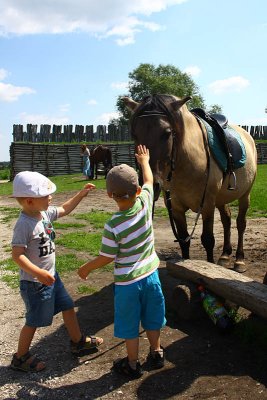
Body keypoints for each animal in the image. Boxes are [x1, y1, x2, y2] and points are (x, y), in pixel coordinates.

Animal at [124, 94, 258, 272]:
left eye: (167, 133)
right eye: (134, 134)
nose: (151, 184)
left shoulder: (207, 205)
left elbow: (208, 239)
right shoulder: (176, 208)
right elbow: (183, 239)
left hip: (245, 194)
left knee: (240, 223)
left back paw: (239, 260)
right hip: (221, 198)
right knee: (227, 220)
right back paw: (224, 255)